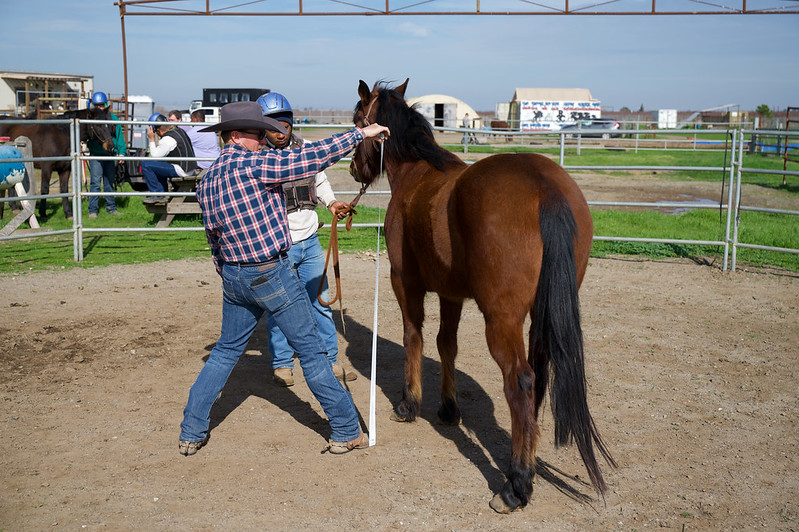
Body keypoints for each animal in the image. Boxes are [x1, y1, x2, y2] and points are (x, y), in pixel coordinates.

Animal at [349, 79, 615, 513]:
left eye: (358, 121)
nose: (355, 168)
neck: (418, 174)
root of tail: (545, 188)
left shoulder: (405, 282)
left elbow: (413, 337)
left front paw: (409, 405)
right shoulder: (452, 293)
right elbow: (446, 344)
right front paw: (448, 408)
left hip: (502, 319)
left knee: (520, 380)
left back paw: (516, 486)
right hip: (539, 317)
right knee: (538, 376)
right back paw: (526, 462)